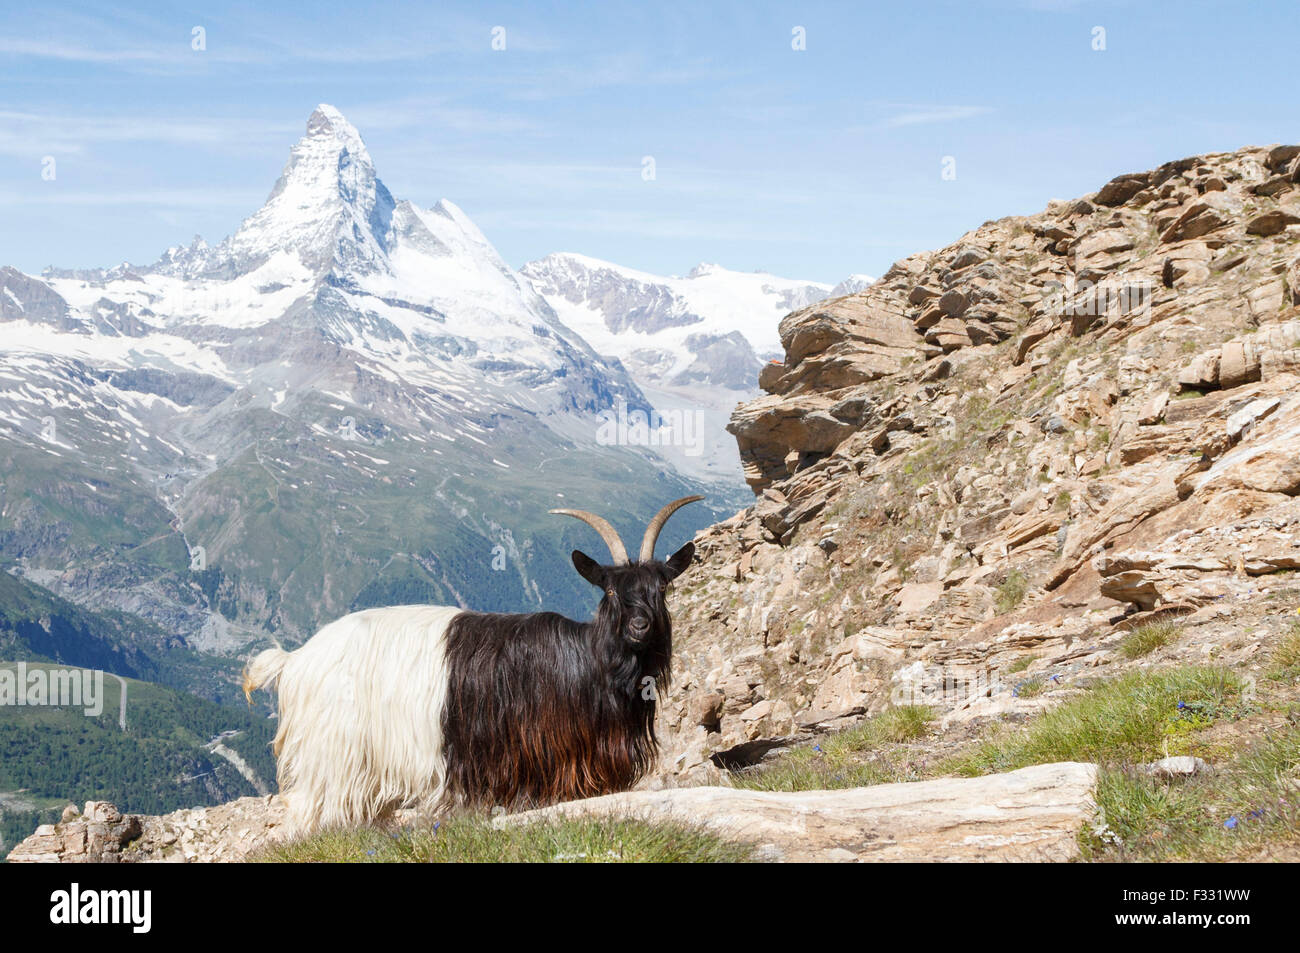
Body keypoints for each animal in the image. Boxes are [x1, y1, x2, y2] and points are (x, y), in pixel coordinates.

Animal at [243, 494, 702, 826]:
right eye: (609, 591)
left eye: (661, 589)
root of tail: (295, 660)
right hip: (332, 759)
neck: (588, 661)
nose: (640, 626)